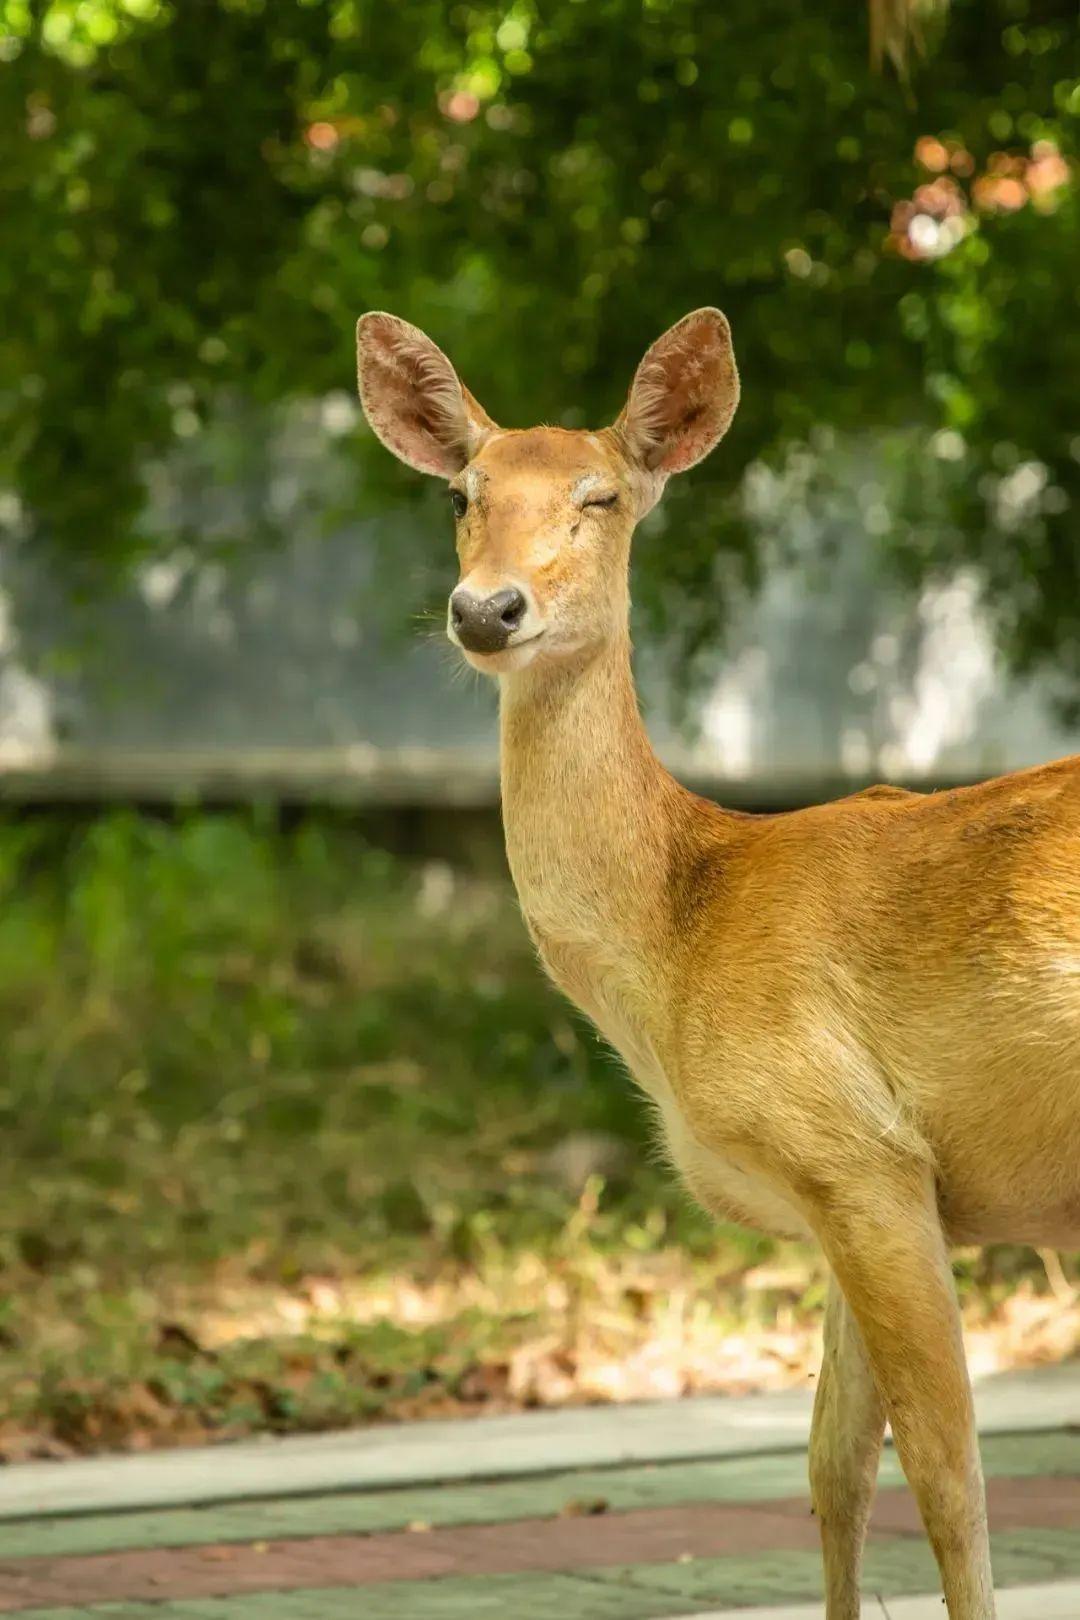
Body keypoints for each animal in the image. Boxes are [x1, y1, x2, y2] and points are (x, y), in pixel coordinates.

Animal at [354, 306, 1080, 1620]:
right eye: (461, 496)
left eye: (599, 495)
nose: (487, 610)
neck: (681, 936)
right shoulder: (860, 1182)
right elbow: (834, 1467)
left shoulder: (856, 1146)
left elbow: (950, 1479)